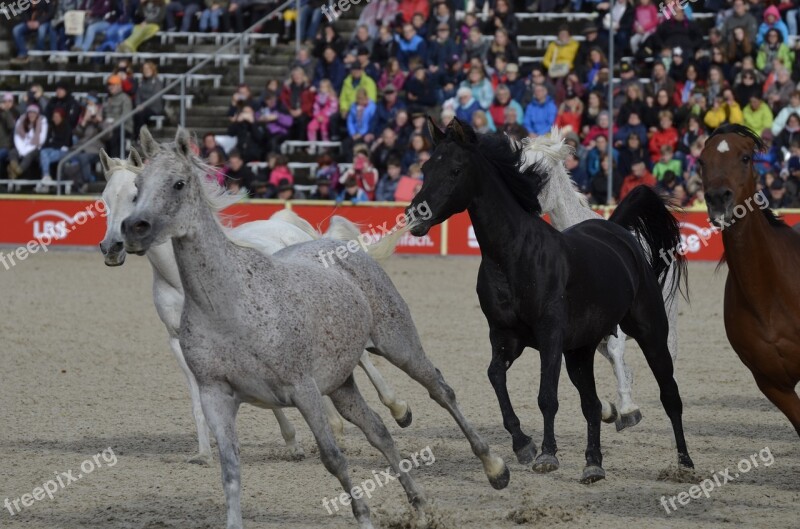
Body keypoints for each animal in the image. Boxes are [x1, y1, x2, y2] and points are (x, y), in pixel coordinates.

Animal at [98, 147, 412, 462]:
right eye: (104, 199)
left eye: (136, 194)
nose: (112, 247)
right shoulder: (182, 343)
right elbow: (201, 399)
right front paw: (205, 453)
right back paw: (337, 427)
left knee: (362, 357)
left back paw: (398, 409)